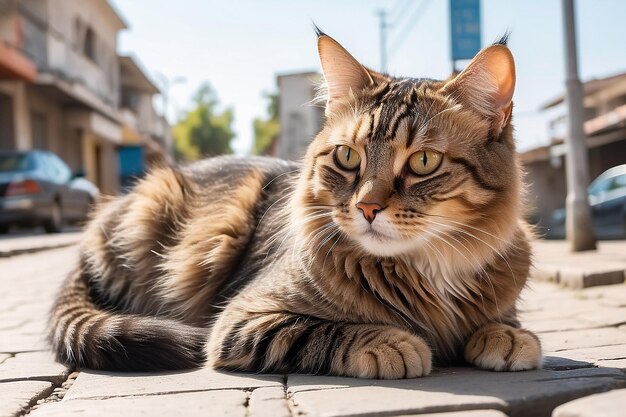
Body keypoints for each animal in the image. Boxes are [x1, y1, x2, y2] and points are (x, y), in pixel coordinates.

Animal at [48, 30, 540, 378]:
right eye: (348, 157)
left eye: (423, 162)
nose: (367, 208)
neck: (431, 269)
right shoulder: (242, 321)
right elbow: (328, 330)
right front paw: (391, 342)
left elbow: (502, 320)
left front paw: (508, 336)